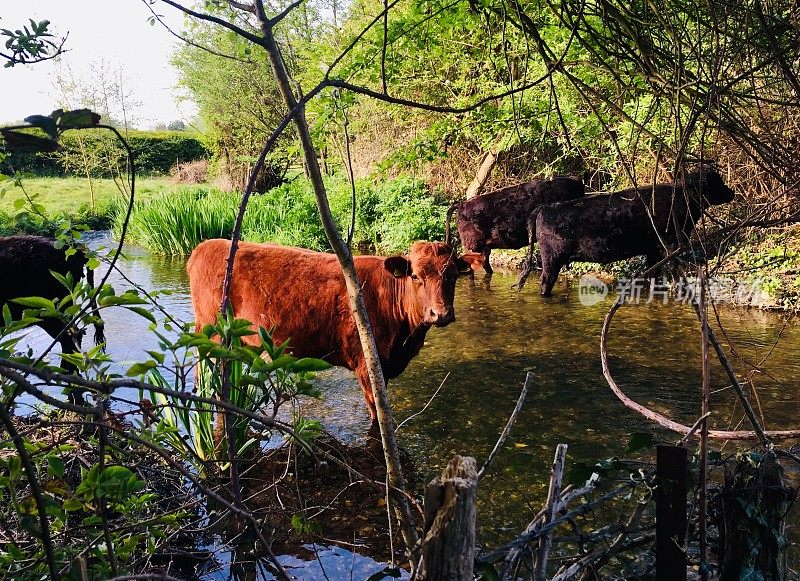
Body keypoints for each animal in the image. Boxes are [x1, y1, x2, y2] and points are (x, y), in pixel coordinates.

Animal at [188, 238, 484, 420]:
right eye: (415, 276)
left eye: (453, 276)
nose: (440, 313)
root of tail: (206, 245)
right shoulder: (368, 365)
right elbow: (377, 416)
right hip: (210, 330)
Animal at [520, 168, 736, 294]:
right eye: (717, 181)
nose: (732, 191)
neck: (682, 198)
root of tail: (544, 208)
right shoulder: (669, 246)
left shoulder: (653, 251)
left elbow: (653, 276)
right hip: (551, 260)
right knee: (545, 282)